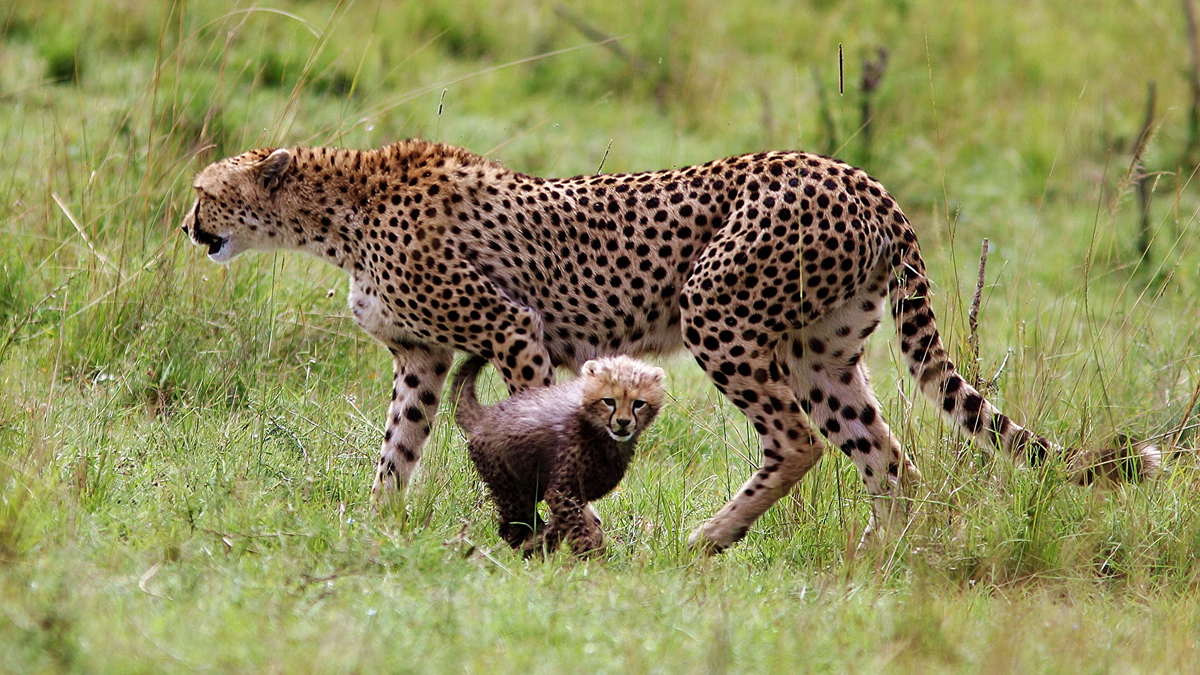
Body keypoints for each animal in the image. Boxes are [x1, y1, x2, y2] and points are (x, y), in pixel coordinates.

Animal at [182, 140, 1156, 552]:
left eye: (202, 191)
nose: (186, 226)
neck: (333, 212)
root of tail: (860, 176)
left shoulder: (514, 328)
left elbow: (526, 424)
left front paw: (562, 539)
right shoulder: (421, 360)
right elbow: (395, 453)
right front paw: (373, 525)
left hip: (713, 306)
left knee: (797, 440)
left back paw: (709, 537)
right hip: (824, 353)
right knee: (888, 458)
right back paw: (887, 560)